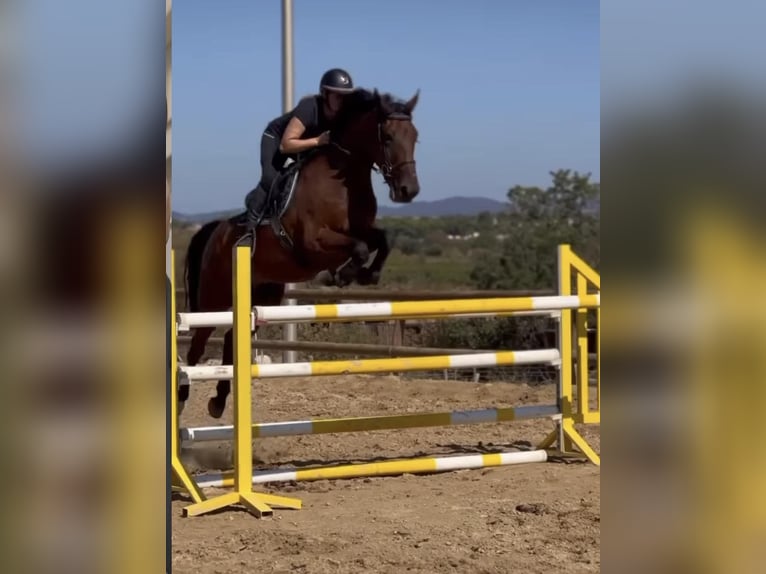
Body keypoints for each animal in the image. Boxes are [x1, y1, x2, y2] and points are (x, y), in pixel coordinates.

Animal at [180, 89, 424, 418]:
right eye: (386, 137)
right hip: (213, 297)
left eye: (415, 137)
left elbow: (380, 241)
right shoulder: (313, 243)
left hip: (262, 295)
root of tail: (216, 231)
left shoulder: (362, 229)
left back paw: (219, 400)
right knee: (197, 344)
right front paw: (342, 275)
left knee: (232, 338)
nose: (409, 190)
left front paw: (366, 275)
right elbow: (359, 248)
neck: (343, 179)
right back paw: (182, 397)